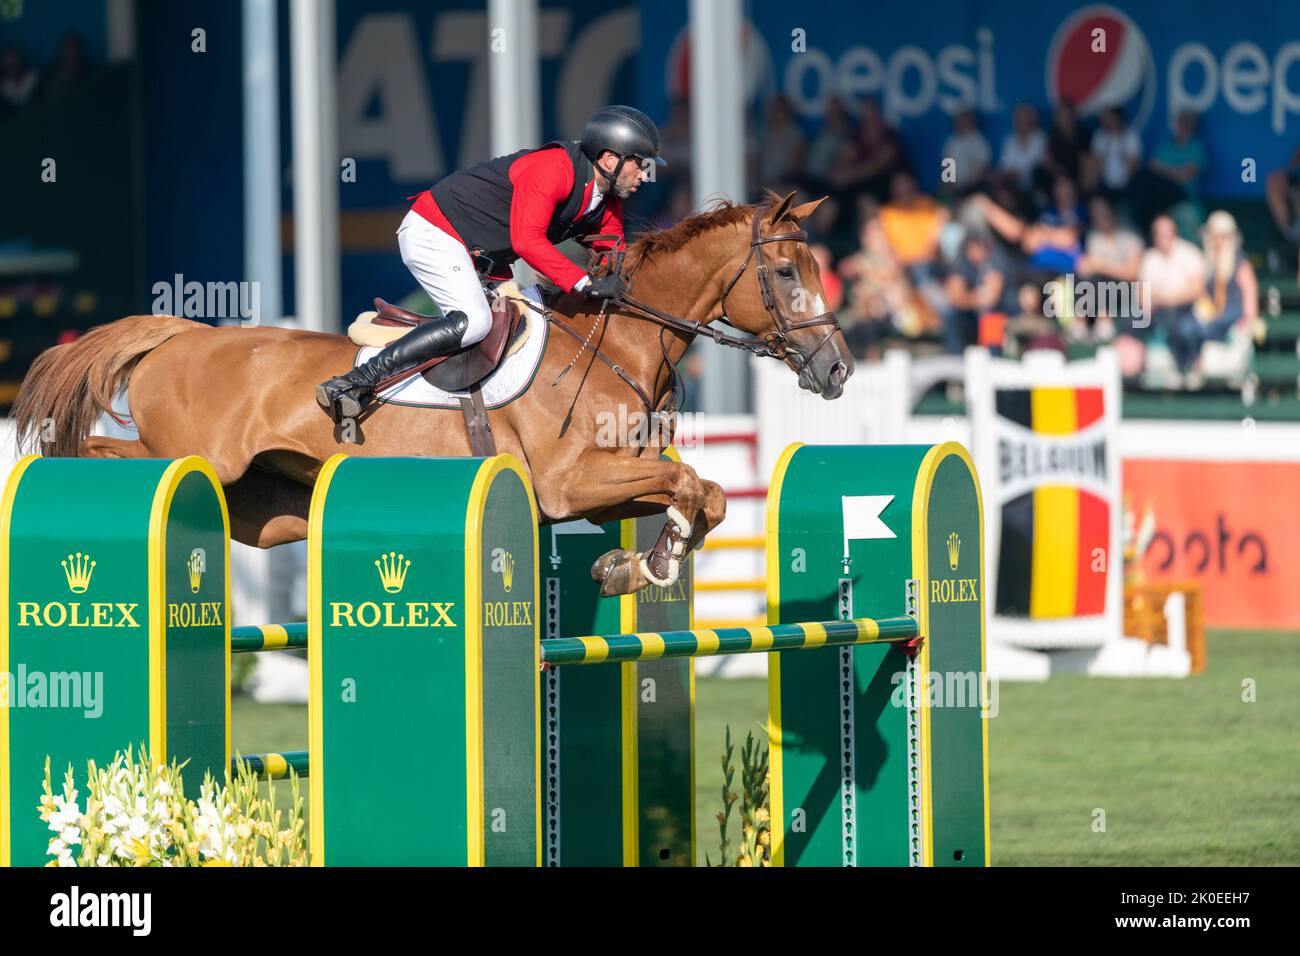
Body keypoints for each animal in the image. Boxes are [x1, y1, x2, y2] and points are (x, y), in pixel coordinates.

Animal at [17, 191, 863, 595]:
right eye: (785, 272)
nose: (837, 372)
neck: (615, 344)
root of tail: (182, 335)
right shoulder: (569, 483)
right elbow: (691, 483)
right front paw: (646, 567)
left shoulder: (610, 486)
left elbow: (703, 493)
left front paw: (638, 567)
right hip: (199, 460)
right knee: (106, 449)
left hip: (262, 511)